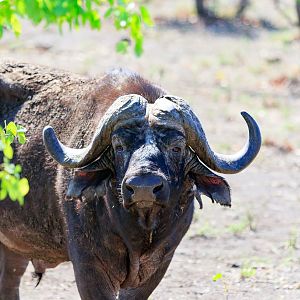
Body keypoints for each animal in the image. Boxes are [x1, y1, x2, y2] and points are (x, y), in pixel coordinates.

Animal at [0, 61, 260, 300]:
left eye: (176, 147)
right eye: (119, 146)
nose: (144, 188)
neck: (138, 232)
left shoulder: (157, 266)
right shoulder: (88, 266)